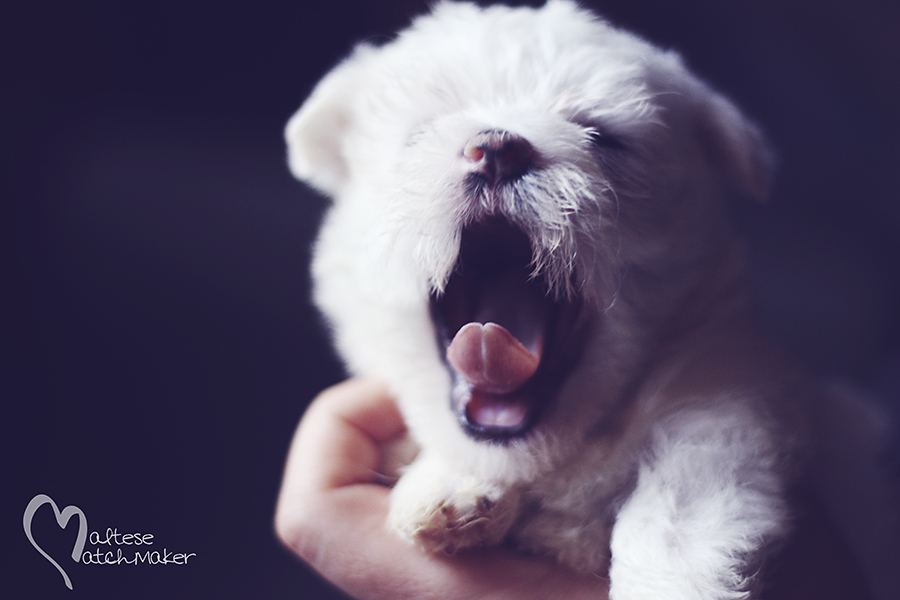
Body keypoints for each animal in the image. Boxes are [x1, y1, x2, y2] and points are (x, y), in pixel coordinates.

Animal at [286, 2, 808, 596]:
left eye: (602, 137)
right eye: (418, 133)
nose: (496, 147)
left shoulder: (724, 398)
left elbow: (680, 504)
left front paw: (668, 582)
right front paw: (450, 483)